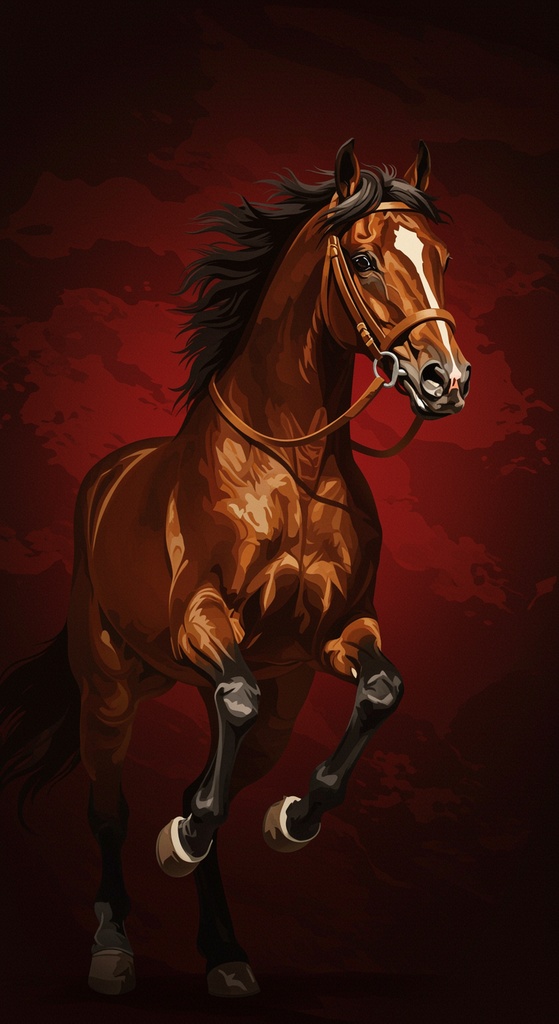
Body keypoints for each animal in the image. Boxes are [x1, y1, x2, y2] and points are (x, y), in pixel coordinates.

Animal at [0, 139, 470, 998]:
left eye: (442, 259)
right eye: (363, 258)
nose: (444, 380)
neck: (288, 469)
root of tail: (105, 478)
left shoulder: (334, 635)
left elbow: (381, 690)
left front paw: (289, 823)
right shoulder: (203, 621)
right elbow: (234, 697)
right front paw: (178, 842)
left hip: (277, 713)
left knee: (208, 776)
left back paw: (224, 952)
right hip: (109, 689)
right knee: (109, 810)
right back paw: (113, 945)